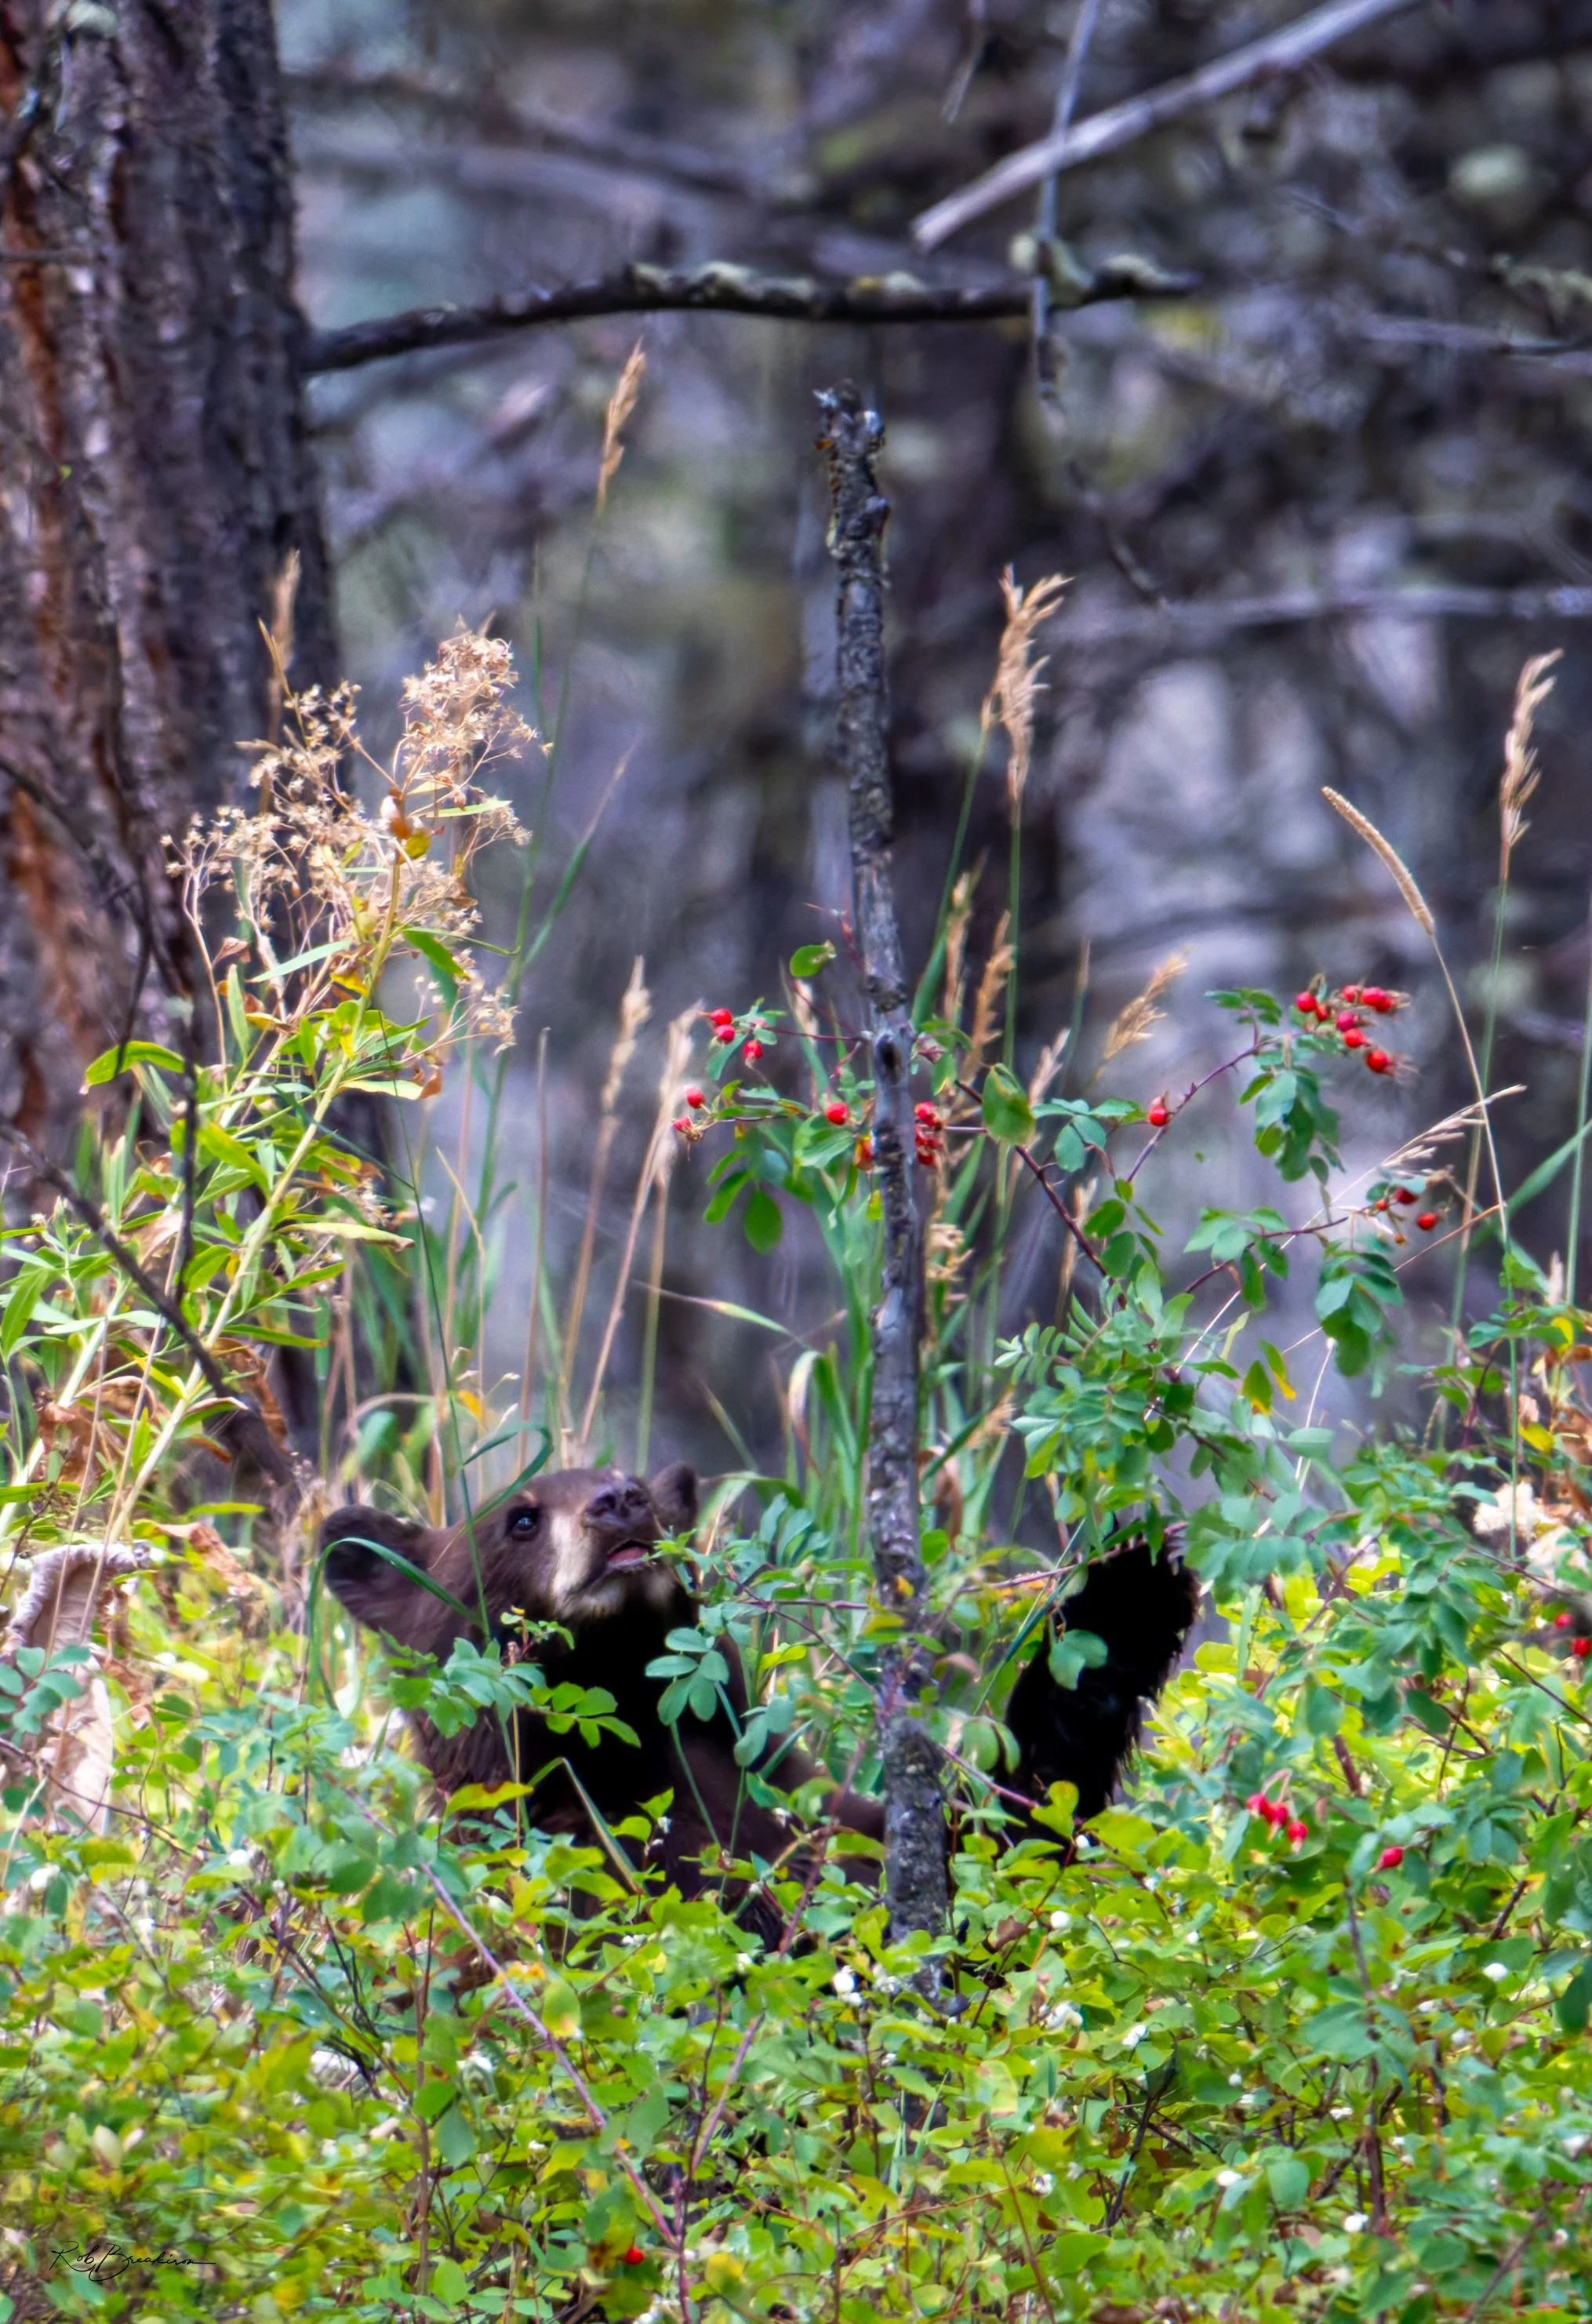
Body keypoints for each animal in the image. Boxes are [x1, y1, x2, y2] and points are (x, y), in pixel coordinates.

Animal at [319, 1461, 1198, 1919]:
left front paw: (1128, 1597)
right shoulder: (568, 1866)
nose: (619, 1501)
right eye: (522, 1518)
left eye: (634, 1478)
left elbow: (997, 1846)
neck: (626, 1743)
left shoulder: (800, 1807)